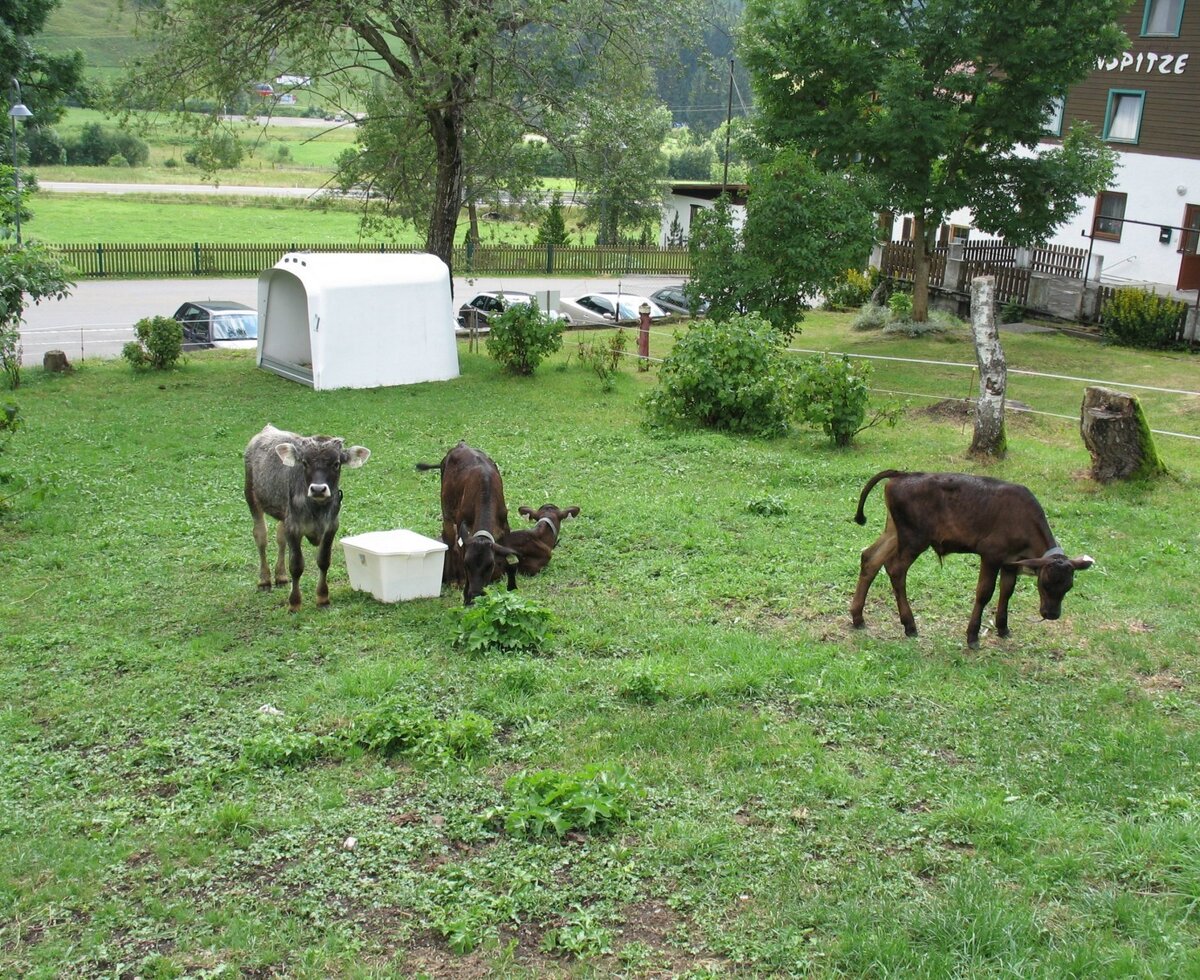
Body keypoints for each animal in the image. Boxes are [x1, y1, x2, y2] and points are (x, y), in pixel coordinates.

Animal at [244, 424, 371, 612]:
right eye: (304, 462)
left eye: (336, 464)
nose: (318, 489)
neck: (316, 509)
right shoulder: (294, 528)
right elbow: (296, 566)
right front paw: (294, 603)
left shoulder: (331, 527)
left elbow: (324, 561)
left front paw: (323, 598)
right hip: (251, 496)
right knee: (261, 537)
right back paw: (264, 580)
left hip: (283, 514)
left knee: (280, 539)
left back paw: (281, 576)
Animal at [415, 441, 518, 605]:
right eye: (466, 564)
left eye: (490, 565)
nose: (475, 593)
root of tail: (461, 444)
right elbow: (459, 548)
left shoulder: (504, 528)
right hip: (447, 513)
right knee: (450, 543)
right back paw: (454, 580)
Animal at [849, 470, 1093, 647]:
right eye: (1044, 583)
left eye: (1068, 587)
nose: (1051, 614)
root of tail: (902, 474)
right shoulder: (991, 554)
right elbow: (984, 593)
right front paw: (973, 636)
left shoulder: (1010, 562)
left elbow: (1007, 590)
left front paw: (1003, 628)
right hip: (914, 538)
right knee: (895, 569)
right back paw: (909, 625)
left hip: (894, 531)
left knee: (870, 558)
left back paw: (858, 617)